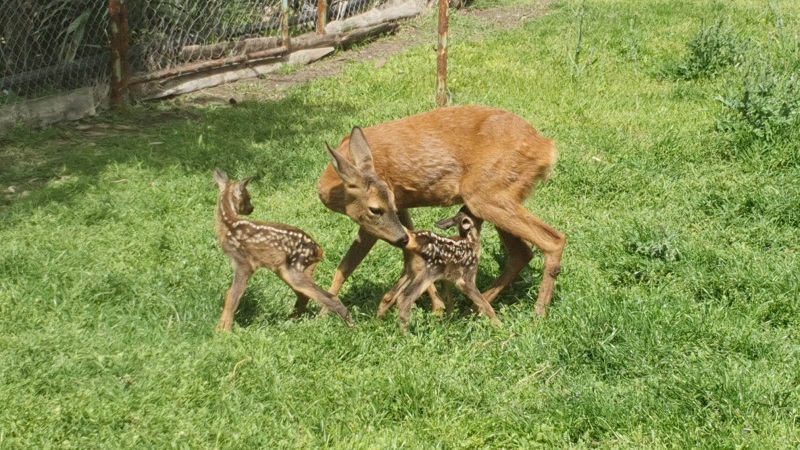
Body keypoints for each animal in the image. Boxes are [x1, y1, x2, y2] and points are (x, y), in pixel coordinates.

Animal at [214, 169, 352, 330]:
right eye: (249, 197)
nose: (251, 208)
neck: (228, 224)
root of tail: (320, 250)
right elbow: (231, 294)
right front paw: (221, 329)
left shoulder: (244, 262)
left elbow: (233, 295)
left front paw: (224, 331)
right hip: (292, 269)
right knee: (304, 296)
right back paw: (290, 320)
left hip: (295, 268)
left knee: (325, 296)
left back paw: (350, 325)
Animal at [316, 105, 564, 318]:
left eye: (375, 209)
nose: (400, 238)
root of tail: (547, 148)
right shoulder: (401, 206)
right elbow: (410, 252)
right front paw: (437, 305)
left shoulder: (377, 220)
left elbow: (347, 266)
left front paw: (324, 313)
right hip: (497, 196)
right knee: (522, 253)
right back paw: (474, 308)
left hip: (486, 195)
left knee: (553, 240)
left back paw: (538, 314)